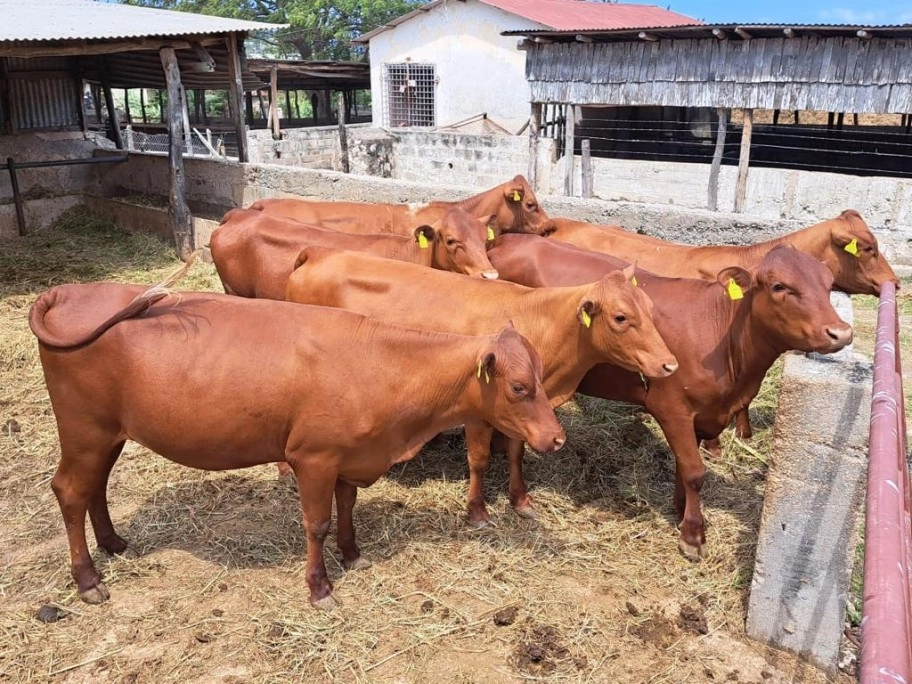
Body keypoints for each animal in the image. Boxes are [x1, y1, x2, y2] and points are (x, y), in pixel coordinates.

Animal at [30, 279, 565, 609]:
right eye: (520, 387)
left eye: (542, 377)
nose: (556, 438)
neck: (381, 364)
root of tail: (67, 290)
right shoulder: (313, 457)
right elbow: (316, 523)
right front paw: (320, 587)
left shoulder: (350, 456)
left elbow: (347, 507)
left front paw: (353, 554)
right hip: (84, 431)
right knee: (70, 491)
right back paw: (88, 579)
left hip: (107, 435)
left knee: (95, 487)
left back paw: (114, 543)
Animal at [284, 245, 678, 525]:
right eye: (620, 317)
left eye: (648, 306)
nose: (669, 364)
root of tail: (319, 253)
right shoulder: (477, 412)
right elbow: (479, 459)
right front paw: (477, 512)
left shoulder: (523, 411)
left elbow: (517, 452)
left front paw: (521, 501)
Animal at [486, 234, 853, 558]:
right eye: (779, 286)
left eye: (828, 284)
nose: (841, 332)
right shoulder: (672, 408)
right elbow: (694, 471)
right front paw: (693, 534)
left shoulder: (703, 415)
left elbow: (684, 466)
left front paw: (680, 510)